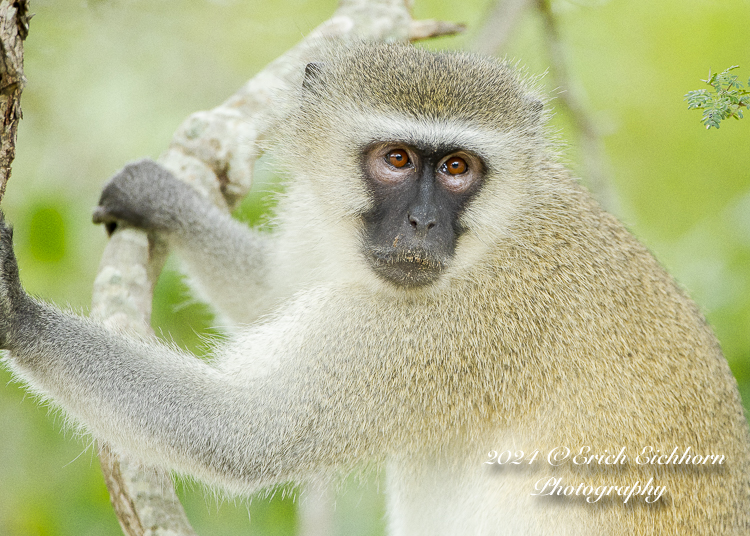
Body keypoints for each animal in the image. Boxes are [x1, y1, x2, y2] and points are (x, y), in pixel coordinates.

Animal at [1, 44, 750, 536]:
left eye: (457, 168)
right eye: (396, 159)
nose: (422, 223)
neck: (497, 233)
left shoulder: (460, 324)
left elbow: (247, 435)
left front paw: (18, 313)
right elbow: (278, 291)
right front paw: (165, 201)